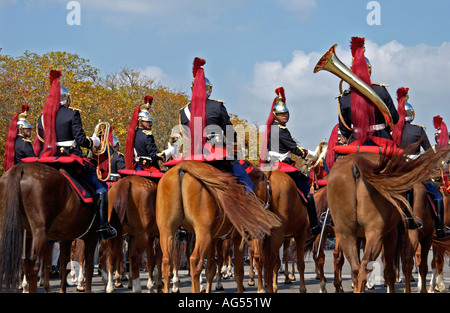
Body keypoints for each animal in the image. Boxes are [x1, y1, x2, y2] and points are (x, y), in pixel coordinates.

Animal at [0, 162, 97, 292]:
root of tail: (20, 168)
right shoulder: (91, 236)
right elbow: (88, 267)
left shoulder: (65, 238)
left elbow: (62, 264)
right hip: (39, 231)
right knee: (34, 263)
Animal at [156, 161, 280, 292]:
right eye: (269, 191)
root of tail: (182, 168)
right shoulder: (237, 238)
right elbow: (239, 271)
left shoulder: (213, 240)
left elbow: (210, 270)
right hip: (202, 233)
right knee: (195, 262)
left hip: (167, 230)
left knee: (167, 263)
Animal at [326, 147, 450, 292]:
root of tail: (355, 163)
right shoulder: (420, 235)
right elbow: (418, 266)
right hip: (379, 233)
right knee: (385, 265)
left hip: (346, 233)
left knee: (355, 269)